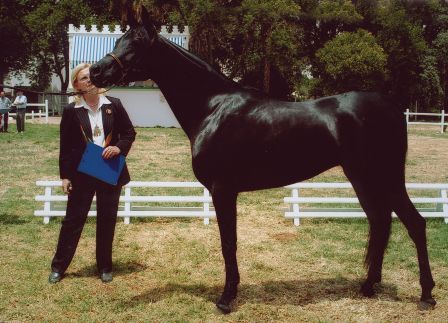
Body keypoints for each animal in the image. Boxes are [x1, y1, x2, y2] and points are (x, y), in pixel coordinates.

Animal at [89, 6, 436, 314]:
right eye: (120, 39)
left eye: (136, 42)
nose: (95, 71)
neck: (213, 108)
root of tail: (394, 107)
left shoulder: (223, 190)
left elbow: (229, 242)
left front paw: (227, 298)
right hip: (361, 177)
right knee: (380, 221)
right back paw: (368, 286)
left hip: (385, 177)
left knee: (415, 223)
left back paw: (426, 295)